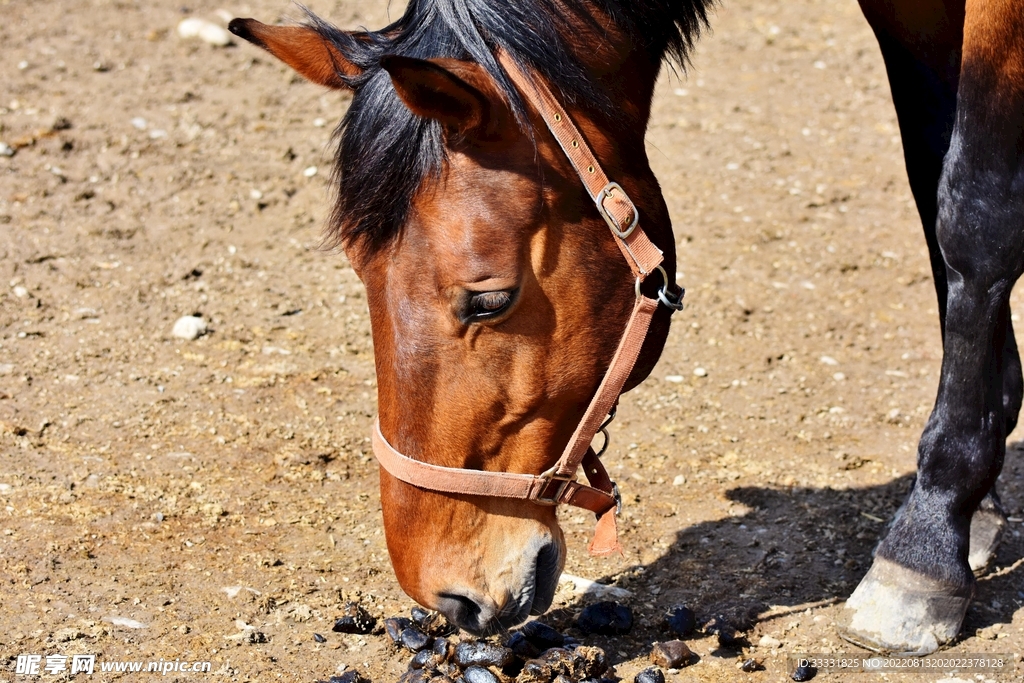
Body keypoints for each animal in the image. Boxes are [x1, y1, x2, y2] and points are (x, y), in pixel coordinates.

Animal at [228, 0, 1024, 655]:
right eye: (359, 273)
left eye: (489, 300)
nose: (445, 593)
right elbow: (933, 186)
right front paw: (975, 500)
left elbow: (975, 214)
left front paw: (926, 543)